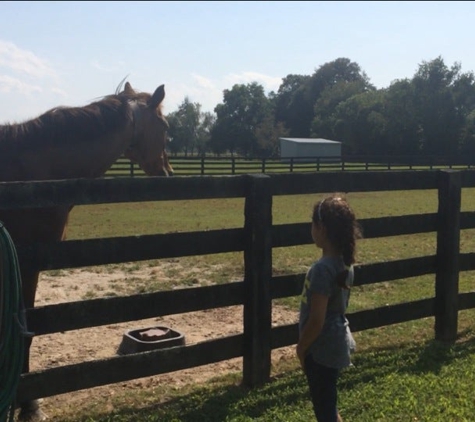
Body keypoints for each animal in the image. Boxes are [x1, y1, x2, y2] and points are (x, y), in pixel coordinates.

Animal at [0, 81, 175, 420]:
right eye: (165, 127)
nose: (167, 173)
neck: (35, 171)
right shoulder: (28, 264)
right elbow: (26, 330)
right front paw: (29, 404)